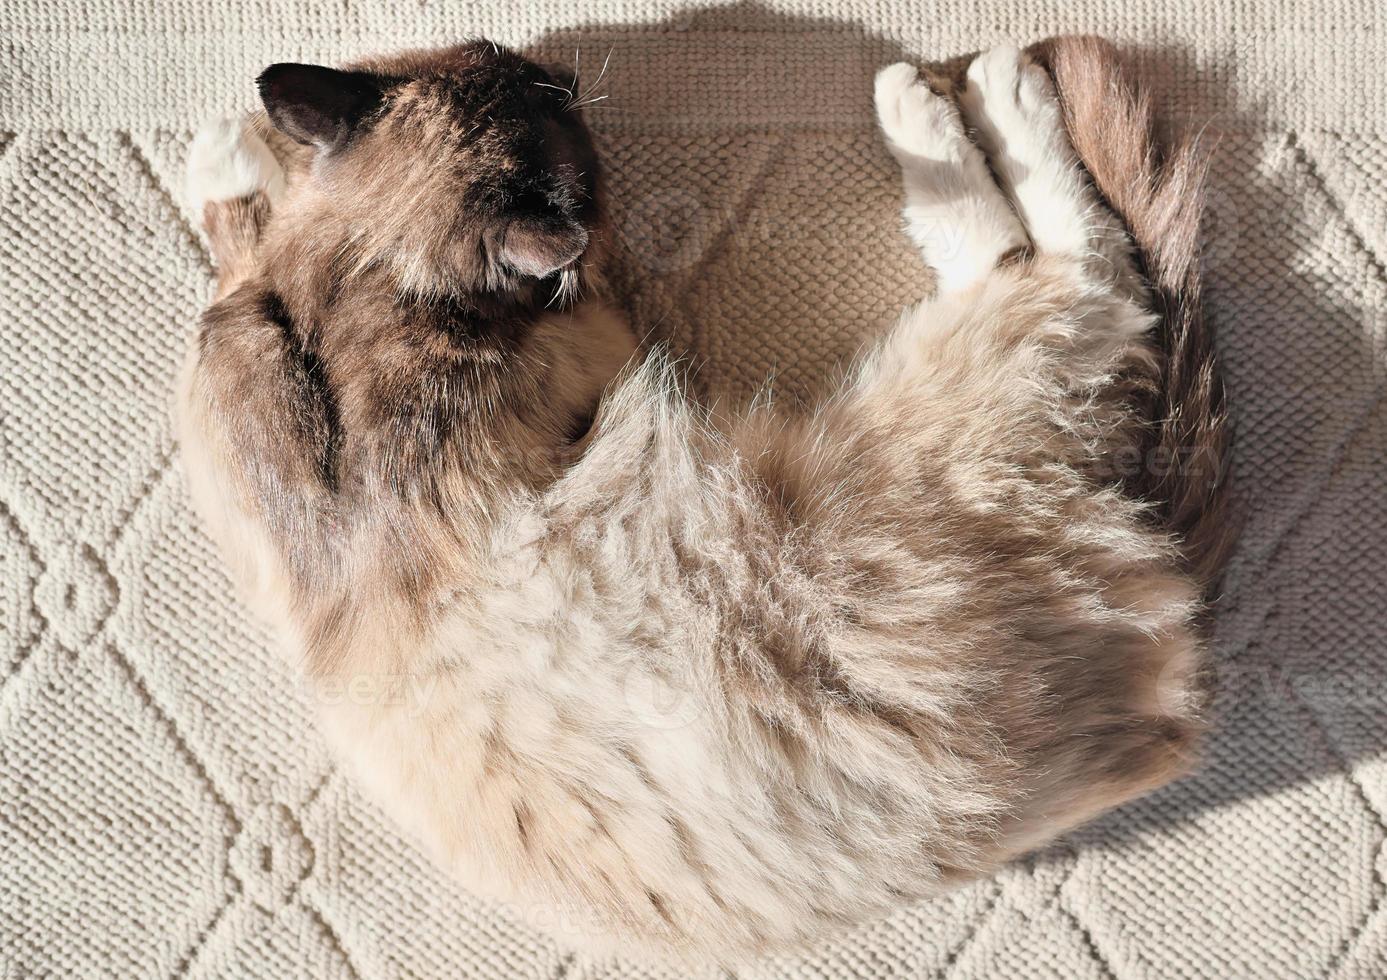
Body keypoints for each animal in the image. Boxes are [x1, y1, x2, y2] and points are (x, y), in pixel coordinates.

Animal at [178, 36, 1231, 964]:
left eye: (533, 80)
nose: (566, 74)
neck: (379, 291)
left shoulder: (236, 367)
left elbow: (243, 242)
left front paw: (227, 154)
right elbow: (246, 236)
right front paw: (231, 159)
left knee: (1079, 266)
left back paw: (972, 92)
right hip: (969, 372)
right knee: (1071, 266)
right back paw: (964, 95)